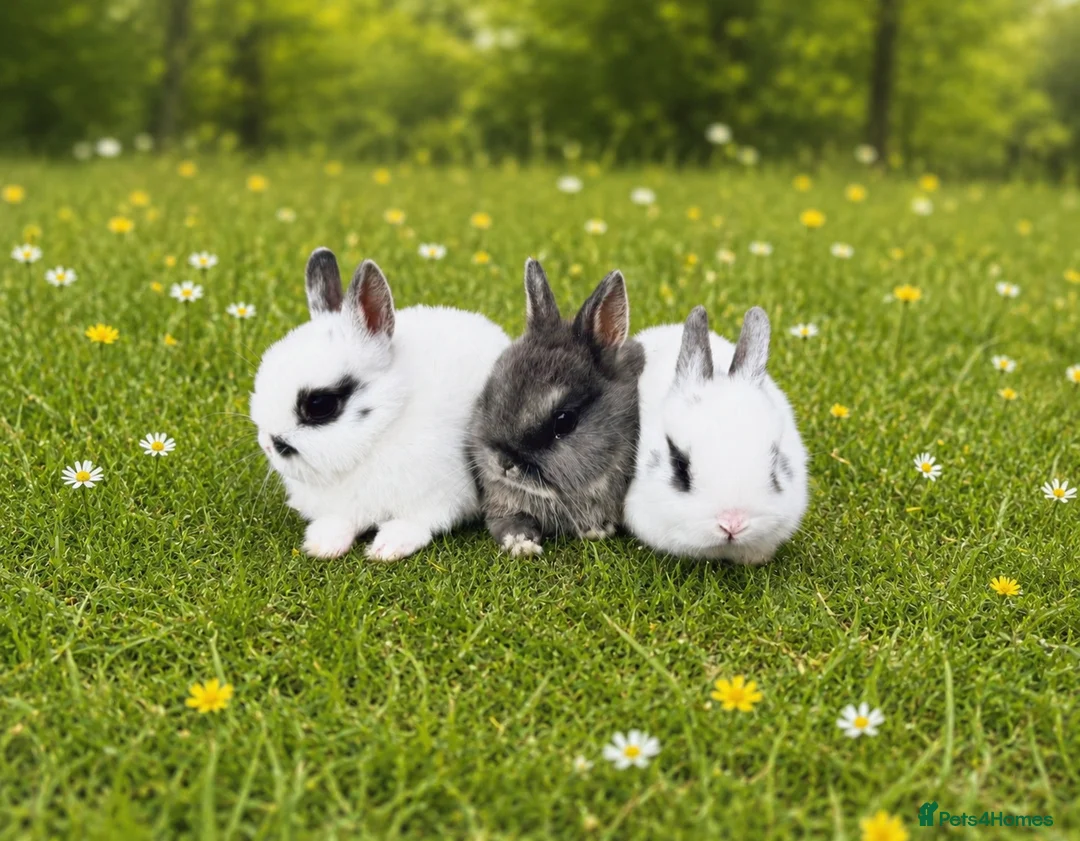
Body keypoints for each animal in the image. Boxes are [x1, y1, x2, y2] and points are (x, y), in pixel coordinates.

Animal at [249, 247, 510, 561]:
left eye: (319, 404)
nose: (268, 444)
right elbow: (340, 521)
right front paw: (322, 544)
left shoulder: (436, 498)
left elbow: (416, 523)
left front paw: (387, 548)